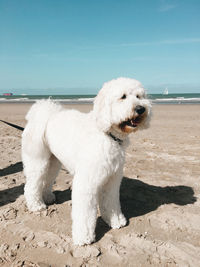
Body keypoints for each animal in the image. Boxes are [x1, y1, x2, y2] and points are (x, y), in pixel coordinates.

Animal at [21, 76, 150, 246]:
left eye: (139, 96)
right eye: (123, 97)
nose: (141, 109)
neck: (106, 134)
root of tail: (46, 114)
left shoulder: (112, 180)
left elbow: (111, 202)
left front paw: (116, 221)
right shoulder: (86, 183)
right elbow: (85, 213)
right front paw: (84, 237)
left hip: (54, 162)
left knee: (47, 180)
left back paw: (48, 197)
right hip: (38, 161)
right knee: (32, 185)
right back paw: (36, 205)